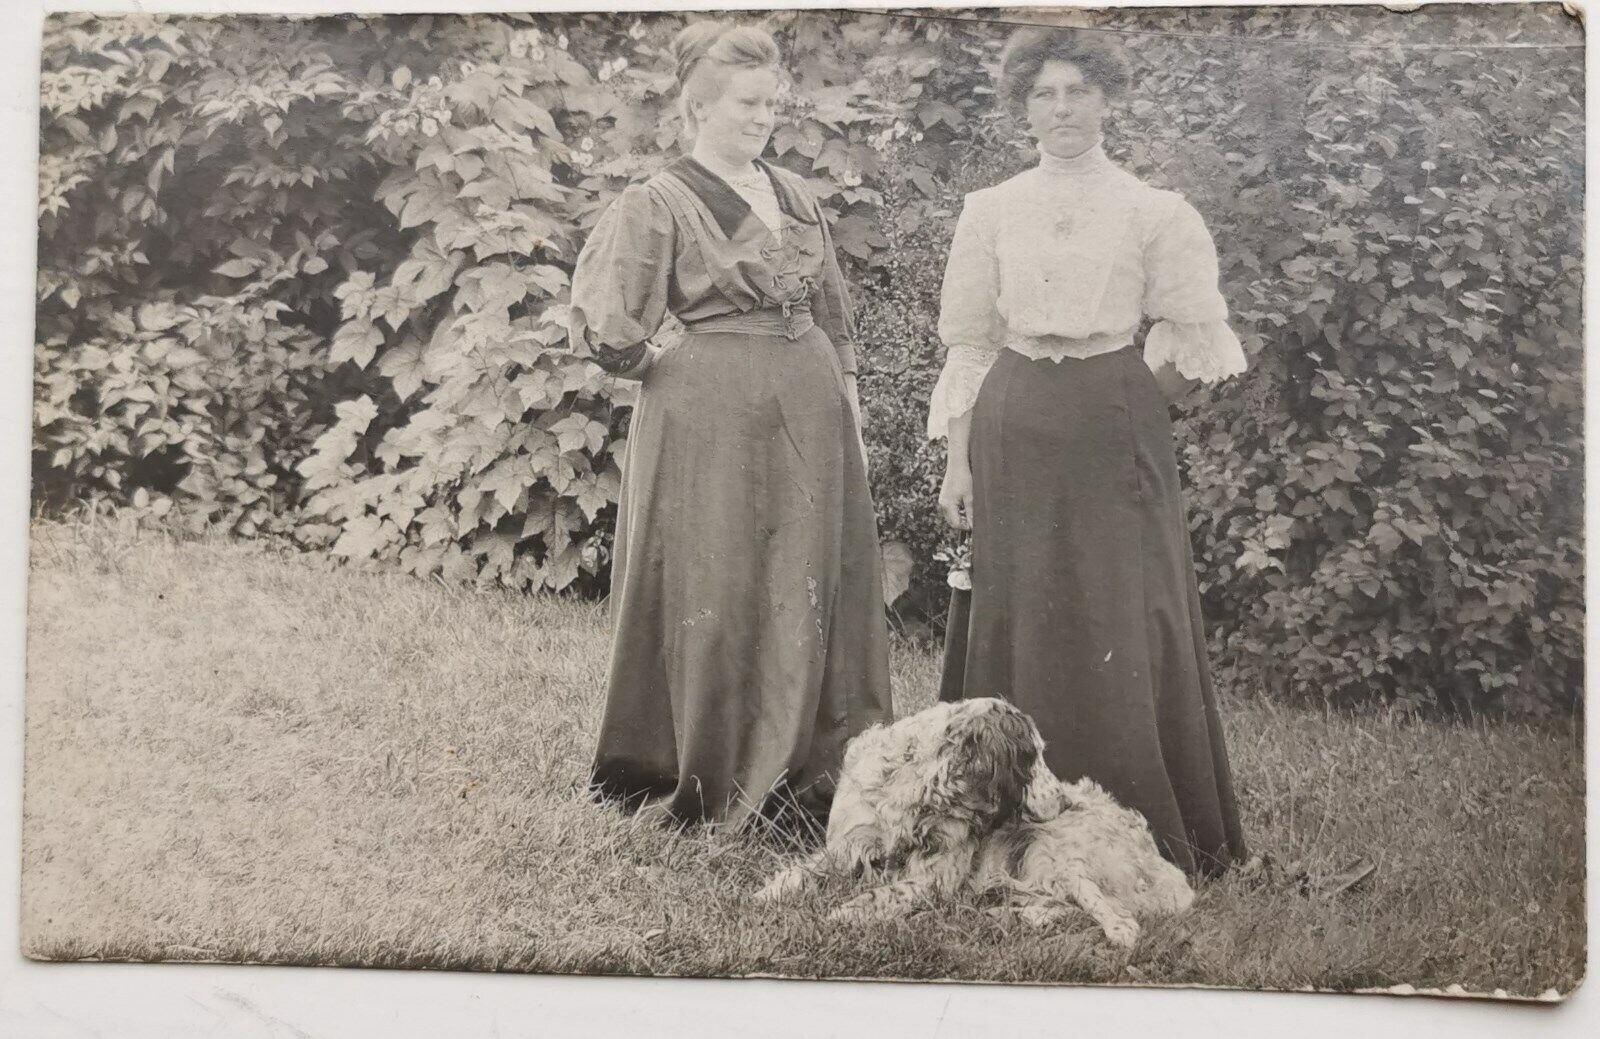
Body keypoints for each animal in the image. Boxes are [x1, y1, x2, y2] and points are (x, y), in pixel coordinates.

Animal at [755, 691, 1196, 941]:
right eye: (1032, 755)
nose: (1064, 801)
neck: (918, 788)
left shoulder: (936, 875)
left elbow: (889, 892)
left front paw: (848, 912)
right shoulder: (849, 844)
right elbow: (800, 872)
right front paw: (767, 895)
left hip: (1054, 850)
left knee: (1119, 922)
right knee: (1065, 906)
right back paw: (1007, 913)